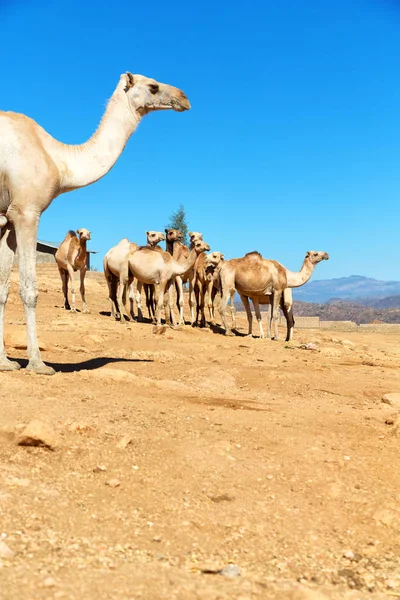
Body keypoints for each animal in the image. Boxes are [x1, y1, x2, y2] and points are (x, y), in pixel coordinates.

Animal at [0, 69, 191, 370]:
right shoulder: (26, 211)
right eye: (153, 86)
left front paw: (6, 362)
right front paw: (38, 364)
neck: (58, 159)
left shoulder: (8, 217)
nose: (184, 98)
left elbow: (3, 289)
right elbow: (29, 289)